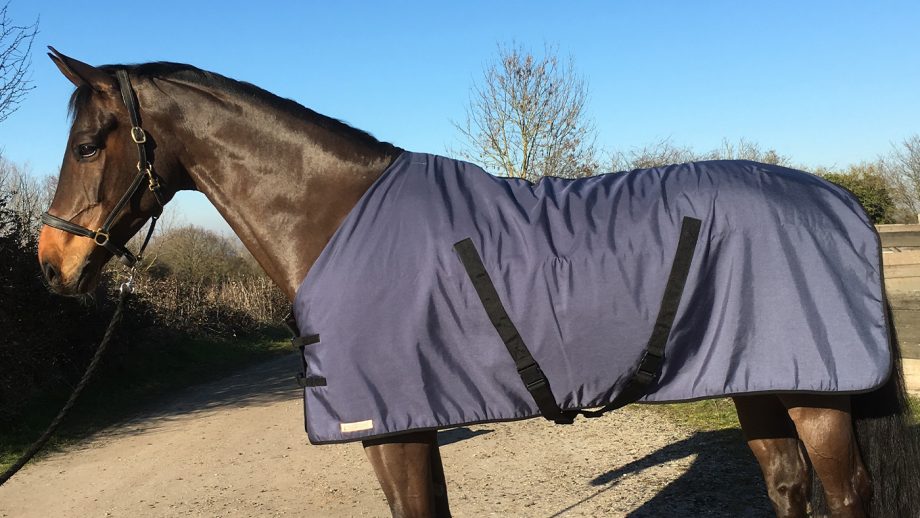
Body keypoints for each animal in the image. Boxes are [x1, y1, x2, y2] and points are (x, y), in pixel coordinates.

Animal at [36, 48, 919, 517]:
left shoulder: (395, 427)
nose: (51, 263)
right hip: (759, 380)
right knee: (788, 486)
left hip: (816, 395)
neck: (335, 216)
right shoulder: (402, 426)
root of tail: (840, 201)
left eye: (87, 143)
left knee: (846, 495)